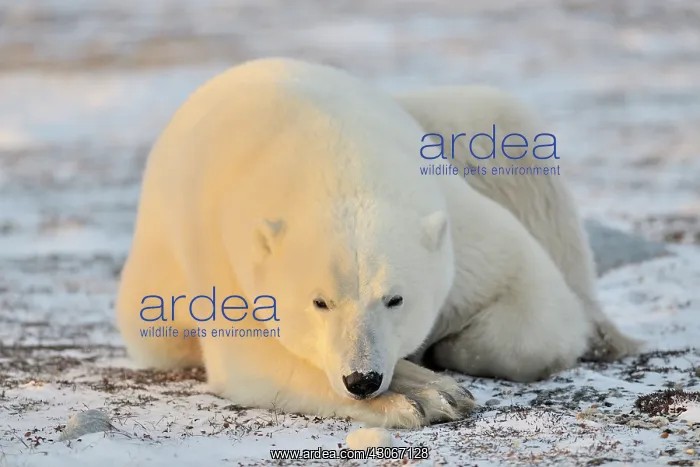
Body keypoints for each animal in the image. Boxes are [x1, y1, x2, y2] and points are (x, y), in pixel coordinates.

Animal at [116, 57, 637, 429]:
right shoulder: (224, 249)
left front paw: (437, 362)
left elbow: (533, 304)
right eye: (319, 302)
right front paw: (425, 395)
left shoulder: (455, 218)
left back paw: (607, 334)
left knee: (509, 129)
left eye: (395, 299)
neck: (333, 158)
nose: (362, 379)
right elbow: (254, 358)